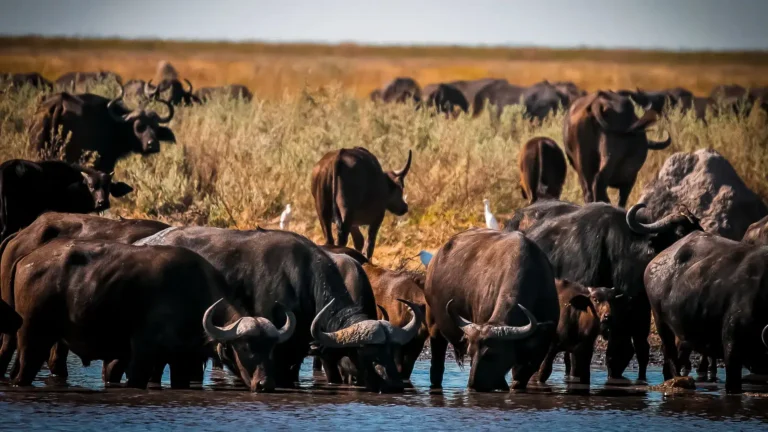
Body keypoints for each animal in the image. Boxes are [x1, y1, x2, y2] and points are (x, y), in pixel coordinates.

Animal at [6, 239, 294, 390]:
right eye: (244, 347)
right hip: (31, 338)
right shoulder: (141, 357)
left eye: (271, 348)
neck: (189, 294)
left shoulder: (182, 361)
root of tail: (27, 259)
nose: (265, 384)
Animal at [28, 84, 176, 173]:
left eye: (155, 127)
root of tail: (59, 103)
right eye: (139, 127)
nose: (153, 145)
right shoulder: (105, 164)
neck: (114, 125)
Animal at [424, 229, 558, 391]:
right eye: (470, 352)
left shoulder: (538, 352)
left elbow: (518, 379)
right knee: (436, 367)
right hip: (433, 325)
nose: (473, 386)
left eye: (492, 355)